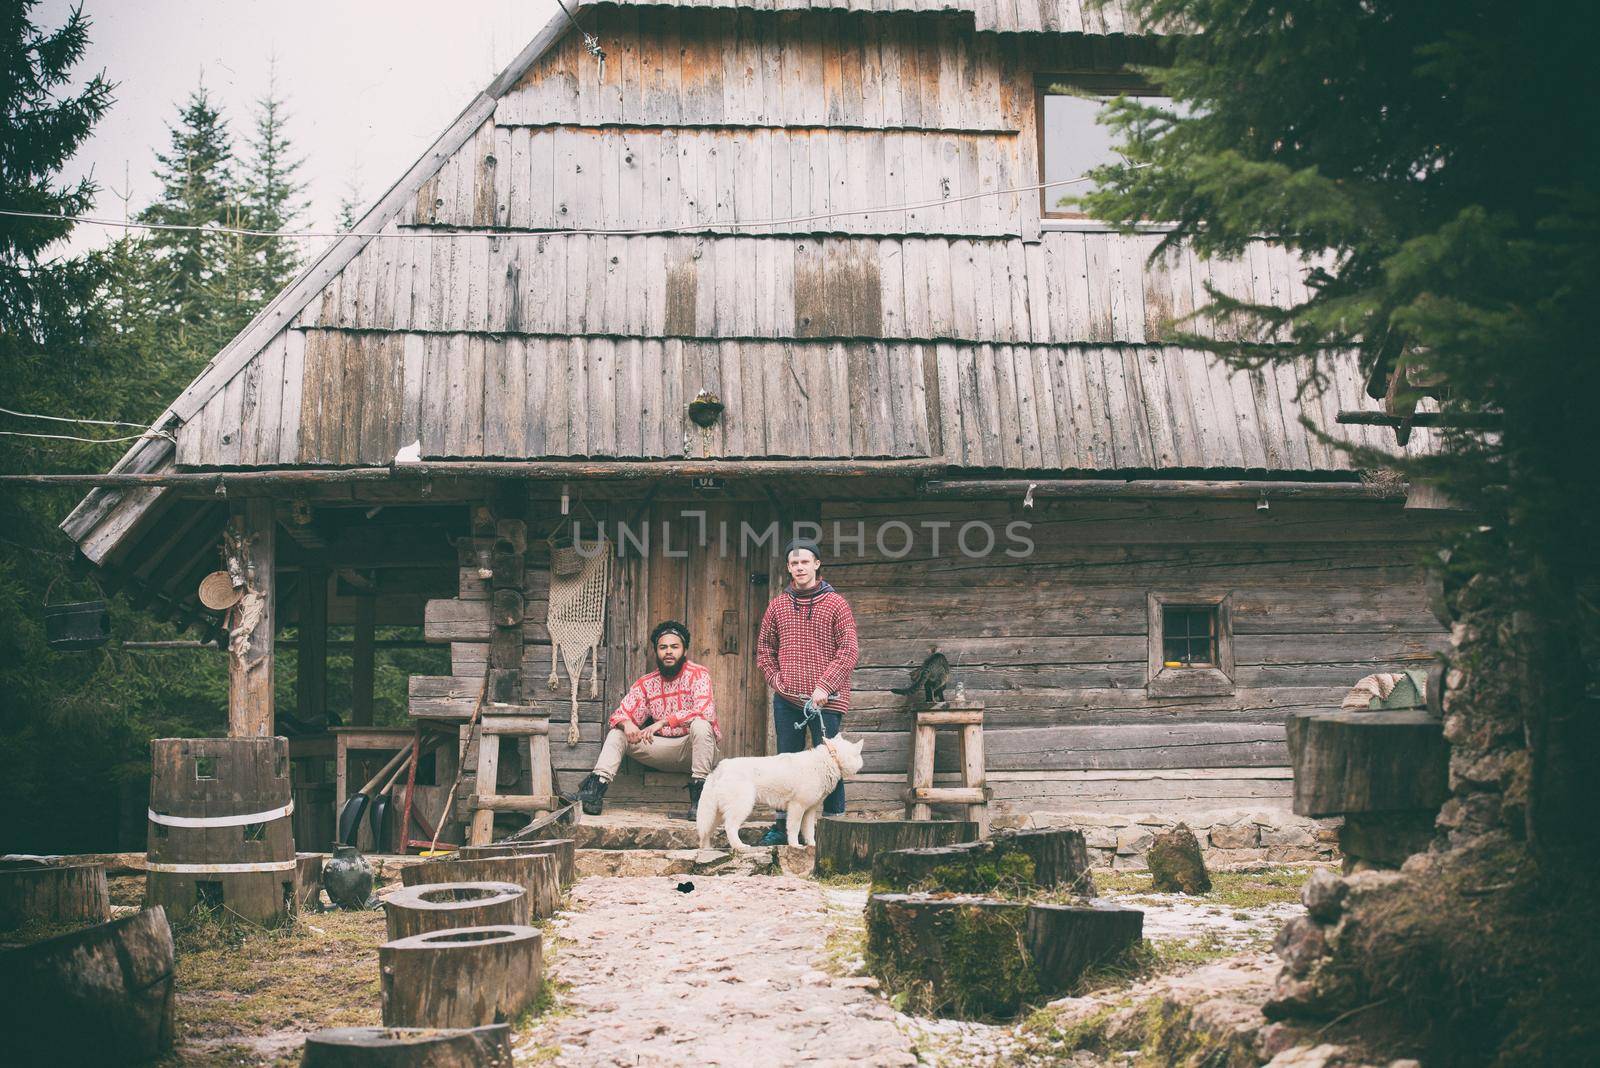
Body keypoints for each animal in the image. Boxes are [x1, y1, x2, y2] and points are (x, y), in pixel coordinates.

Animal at [697, 735, 864, 850]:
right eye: (858, 754)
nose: (862, 765)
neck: (827, 761)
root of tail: (721, 767)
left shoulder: (809, 811)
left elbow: (809, 831)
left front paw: (812, 845)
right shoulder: (797, 807)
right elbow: (794, 829)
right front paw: (795, 845)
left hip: (717, 814)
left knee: (706, 831)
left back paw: (707, 849)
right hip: (741, 808)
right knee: (730, 828)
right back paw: (740, 846)